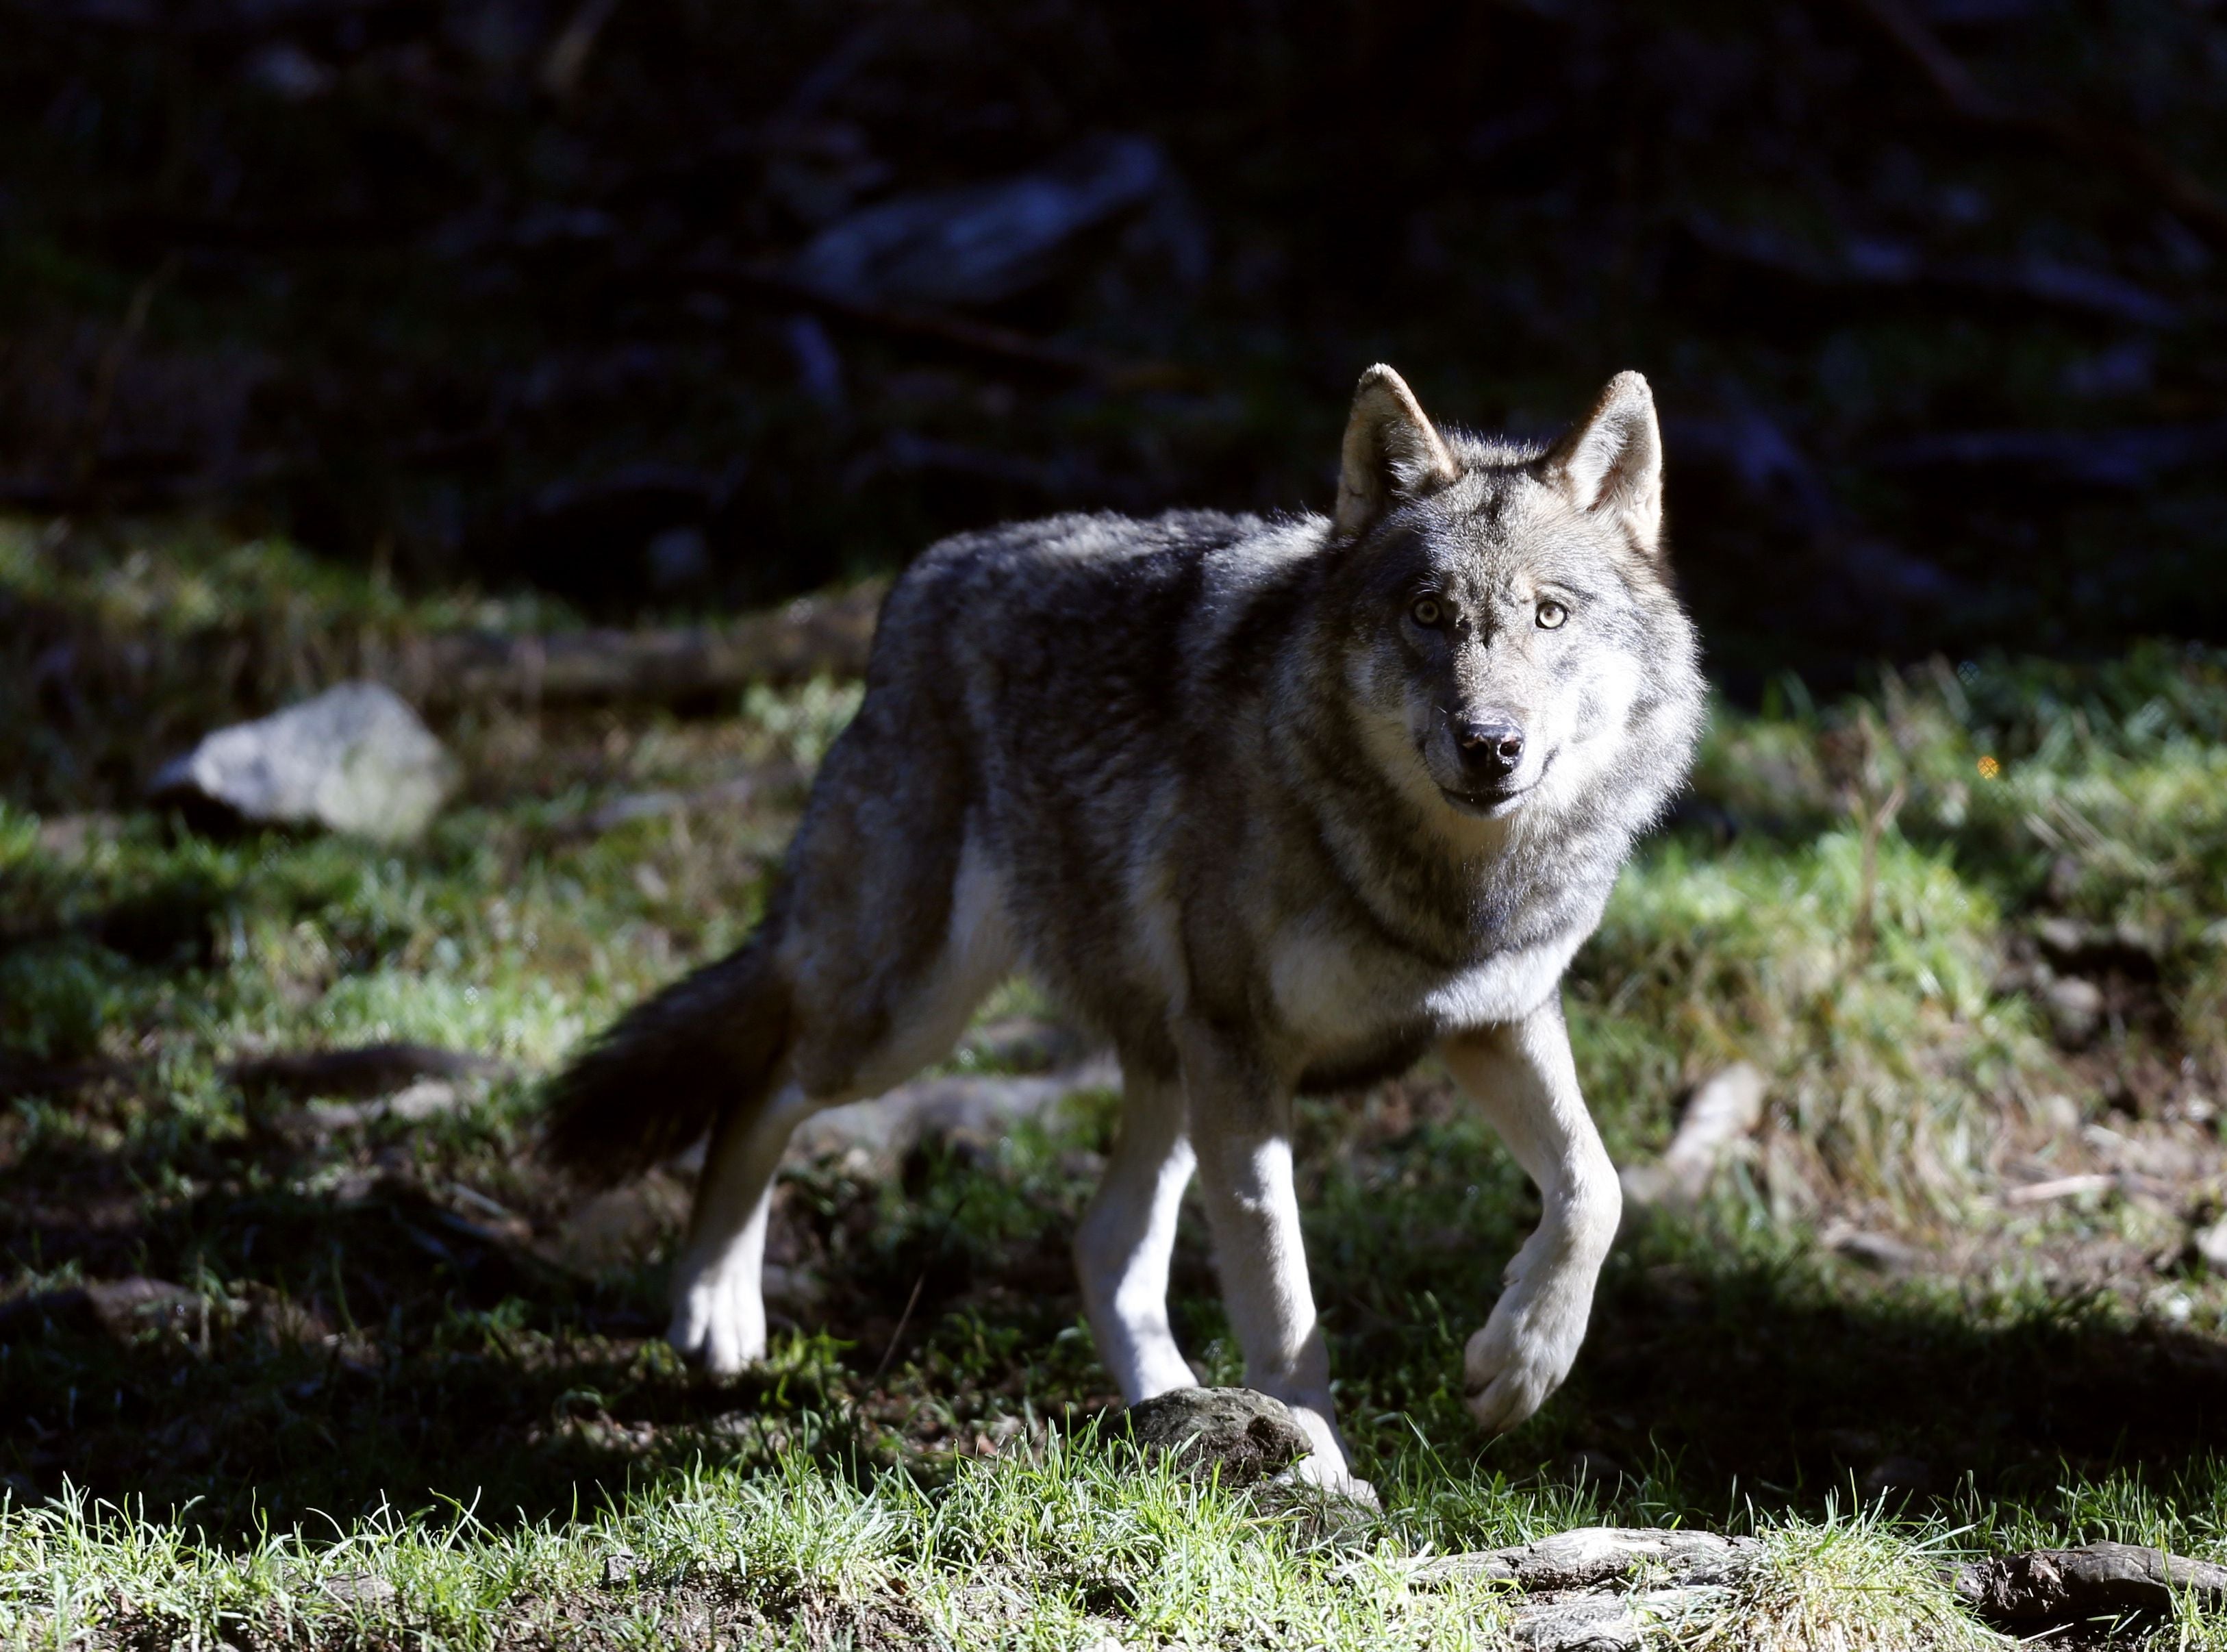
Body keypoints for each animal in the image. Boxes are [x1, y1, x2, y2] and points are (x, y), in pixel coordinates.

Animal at [538, 365, 1701, 1505]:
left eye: (1549, 615)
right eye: (1429, 613)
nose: (1489, 744)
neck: (1443, 885)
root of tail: (924, 577)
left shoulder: (1493, 1019)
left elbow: (1595, 1188)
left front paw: (1521, 1364)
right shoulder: (1243, 1051)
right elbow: (1284, 1299)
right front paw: (1322, 1466)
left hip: (1159, 1068)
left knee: (1103, 1244)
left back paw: (1169, 1415)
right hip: (908, 1019)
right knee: (761, 1087)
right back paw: (716, 1309)